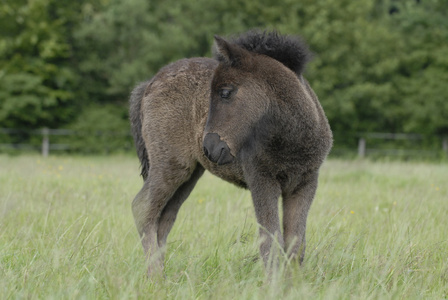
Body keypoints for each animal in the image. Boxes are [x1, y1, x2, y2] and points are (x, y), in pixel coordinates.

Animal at [130, 30, 332, 276]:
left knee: (164, 218)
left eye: (225, 92)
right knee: (143, 208)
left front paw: (293, 282)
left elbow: (295, 244)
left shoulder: (305, 183)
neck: (292, 140)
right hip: (170, 165)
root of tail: (149, 83)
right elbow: (270, 240)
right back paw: (155, 277)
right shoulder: (262, 181)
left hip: (189, 175)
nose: (209, 146)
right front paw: (273, 281)